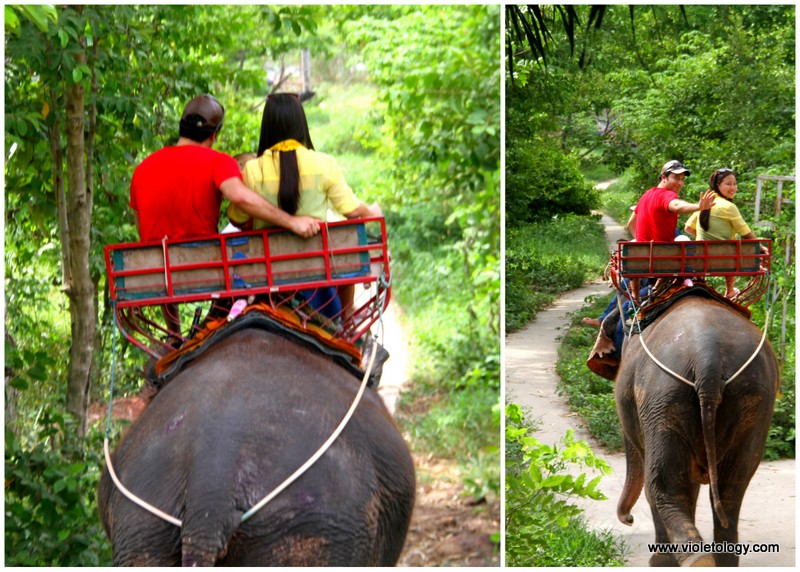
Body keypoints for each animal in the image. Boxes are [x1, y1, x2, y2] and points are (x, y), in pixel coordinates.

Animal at [614, 294, 779, 566]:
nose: (629, 520)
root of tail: (708, 357)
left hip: (663, 396)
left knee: (662, 485)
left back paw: (690, 559)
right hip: (754, 399)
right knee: (733, 485)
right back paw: (720, 561)